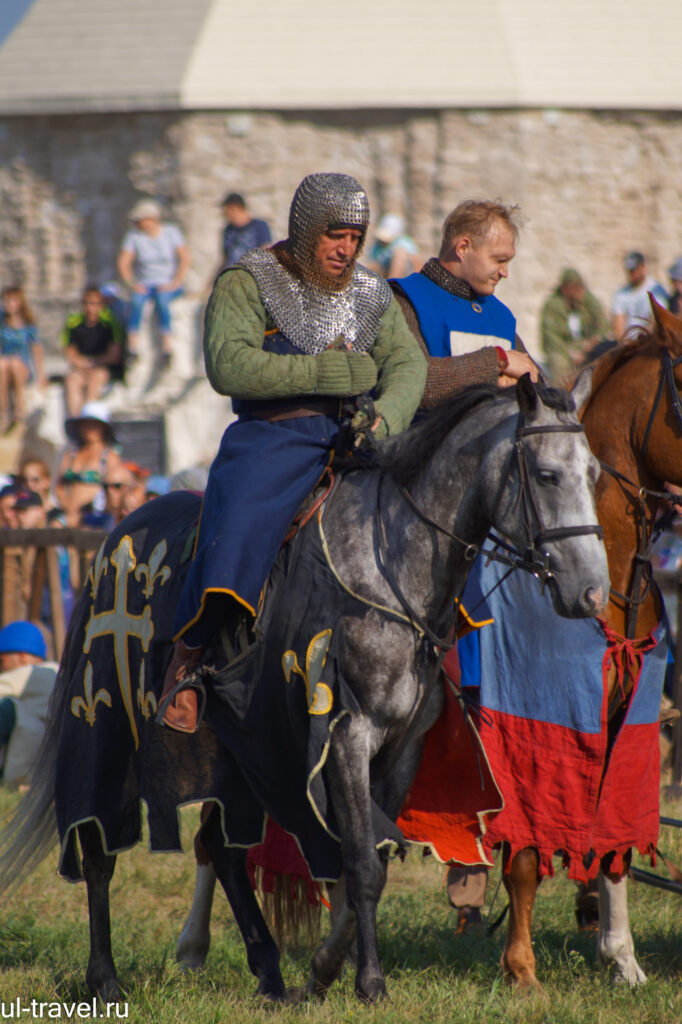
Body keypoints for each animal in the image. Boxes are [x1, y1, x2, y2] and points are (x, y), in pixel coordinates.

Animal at [0, 374, 606, 999]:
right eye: (546, 475)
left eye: (594, 474)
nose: (591, 592)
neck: (389, 567)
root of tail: (113, 541)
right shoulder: (345, 737)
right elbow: (362, 863)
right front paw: (368, 982)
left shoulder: (400, 750)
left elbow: (374, 857)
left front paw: (323, 969)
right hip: (107, 731)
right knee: (98, 847)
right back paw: (105, 978)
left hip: (233, 753)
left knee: (222, 850)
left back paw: (268, 972)